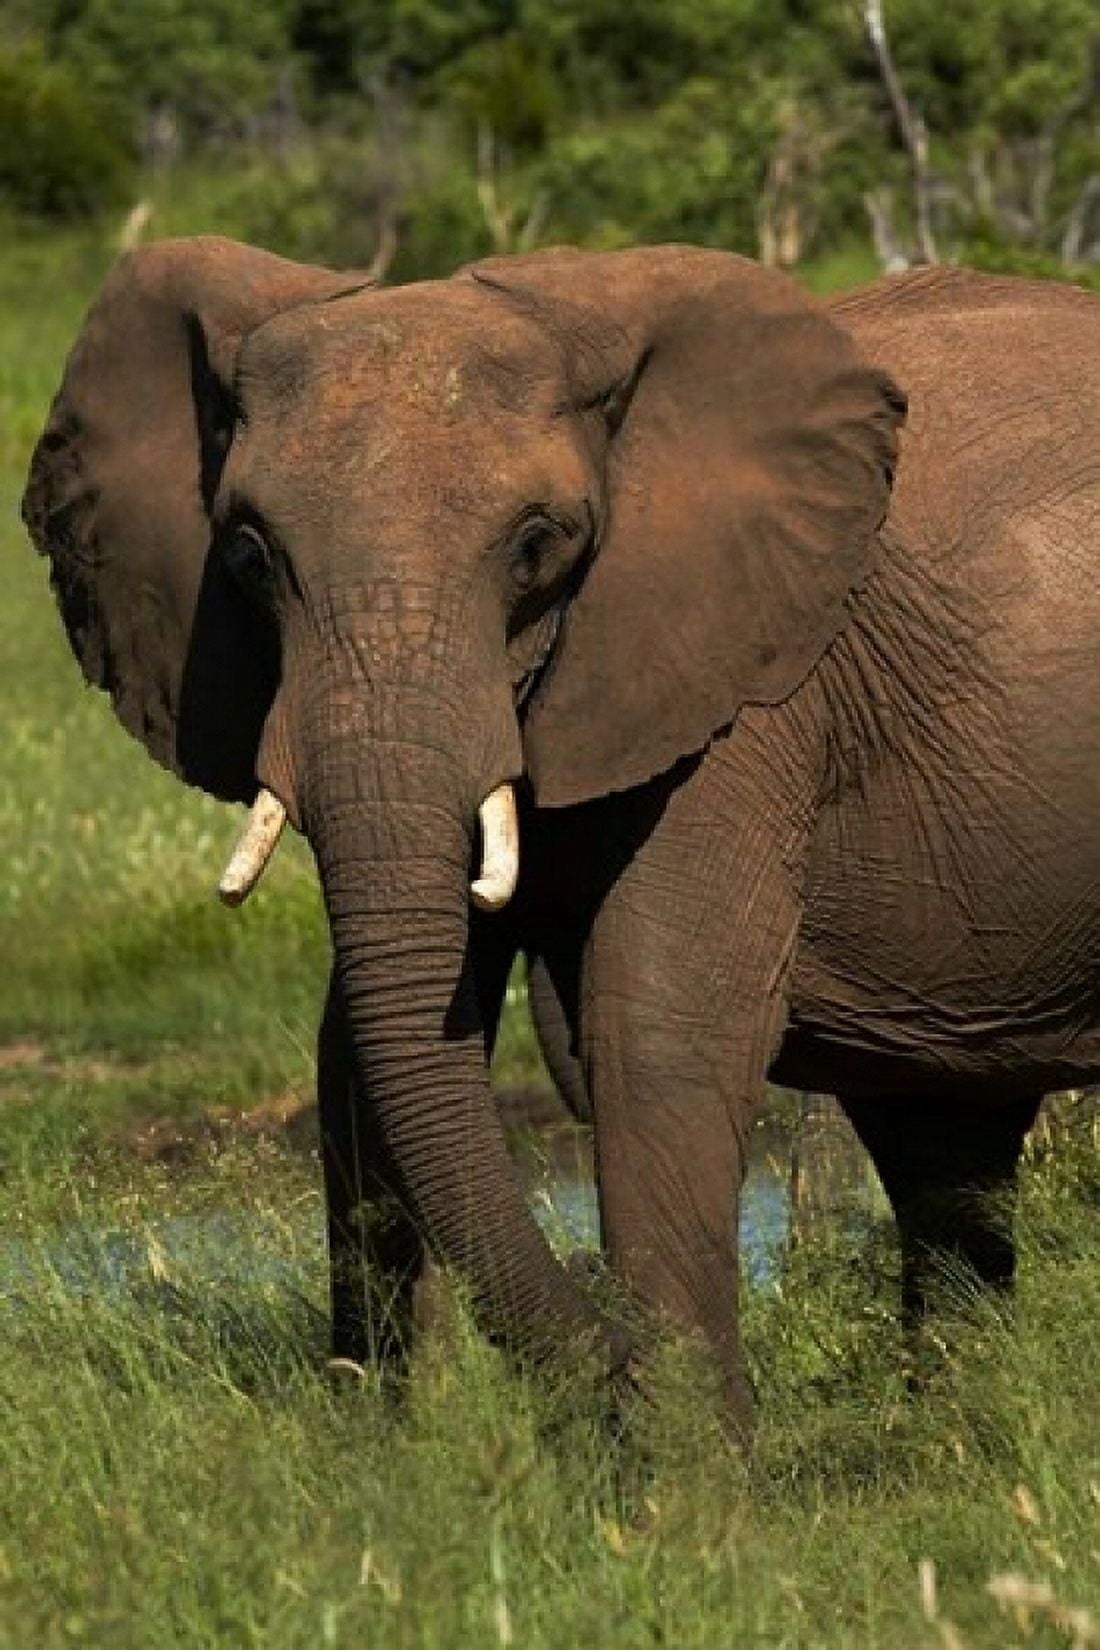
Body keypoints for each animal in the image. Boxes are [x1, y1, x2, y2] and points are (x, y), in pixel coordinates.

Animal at [23, 236, 1100, 1432]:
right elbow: (358, 1049)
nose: (604, 1360)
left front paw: (686, 1474)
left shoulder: (749, 687)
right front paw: (394, 1446)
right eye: (251, 555)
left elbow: (660, 1032)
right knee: (944, 1145)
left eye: (536, 546)